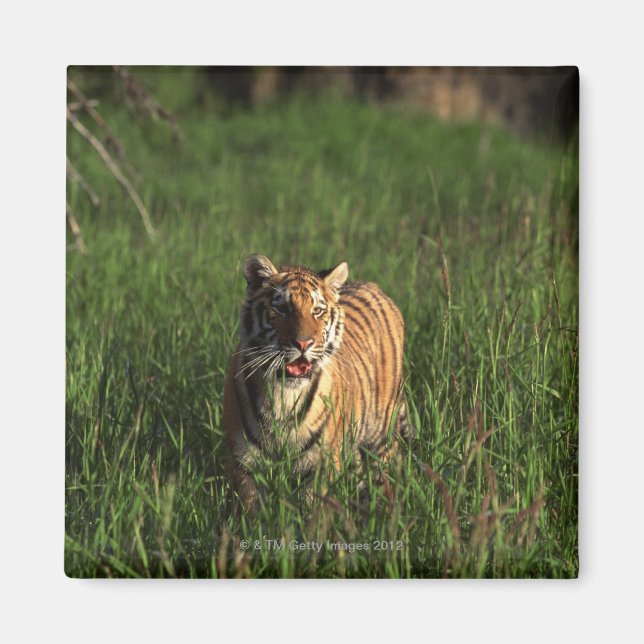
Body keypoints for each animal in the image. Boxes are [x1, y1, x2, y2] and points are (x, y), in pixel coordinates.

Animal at [223, 254, 408, 512]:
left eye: (317, 311)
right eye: (281, 308)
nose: (303, 343)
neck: (283, 394)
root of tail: (374, 286)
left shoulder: (320, 463)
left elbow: (313, 511)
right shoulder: (245, 461)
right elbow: (252, 512)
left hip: (381, 436)